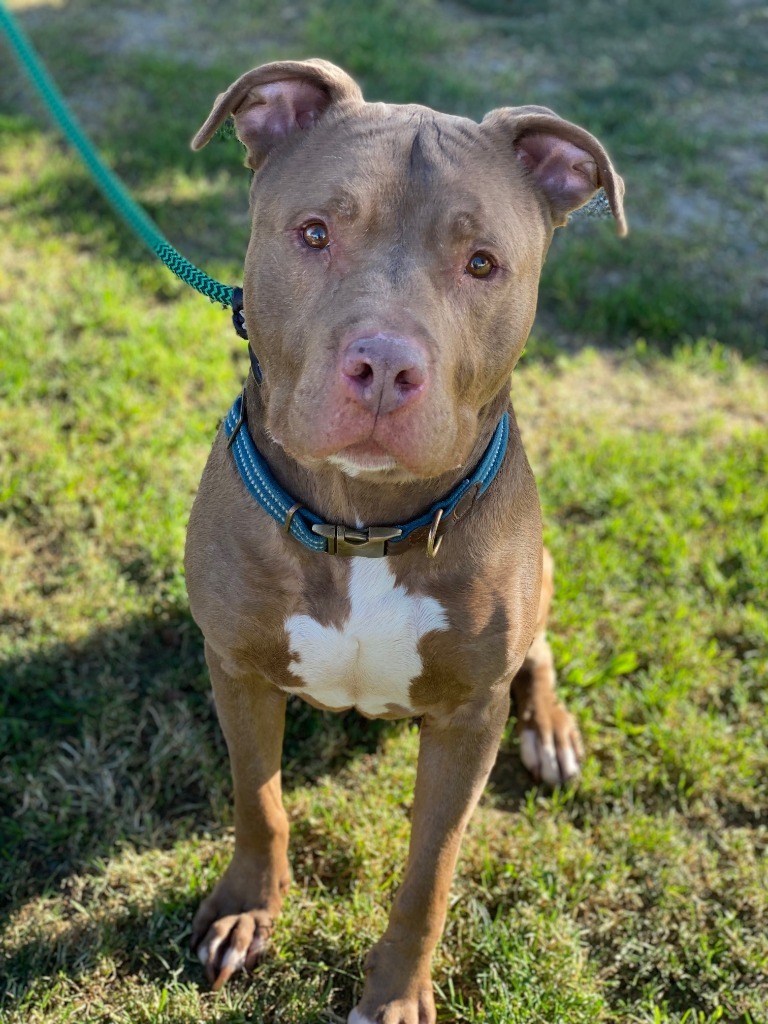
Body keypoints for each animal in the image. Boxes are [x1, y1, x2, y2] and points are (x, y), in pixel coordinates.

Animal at [185, 61, 626, 1024]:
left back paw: (551, 730)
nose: (385, 367)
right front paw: (245, 909)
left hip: (540, 579)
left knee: (538, 652)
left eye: (482, 263)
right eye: (314, 233)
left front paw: (394, 994)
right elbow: (258, 799)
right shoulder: (236, 668)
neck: (364, 526)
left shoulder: (466, 719)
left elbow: (430, 871)